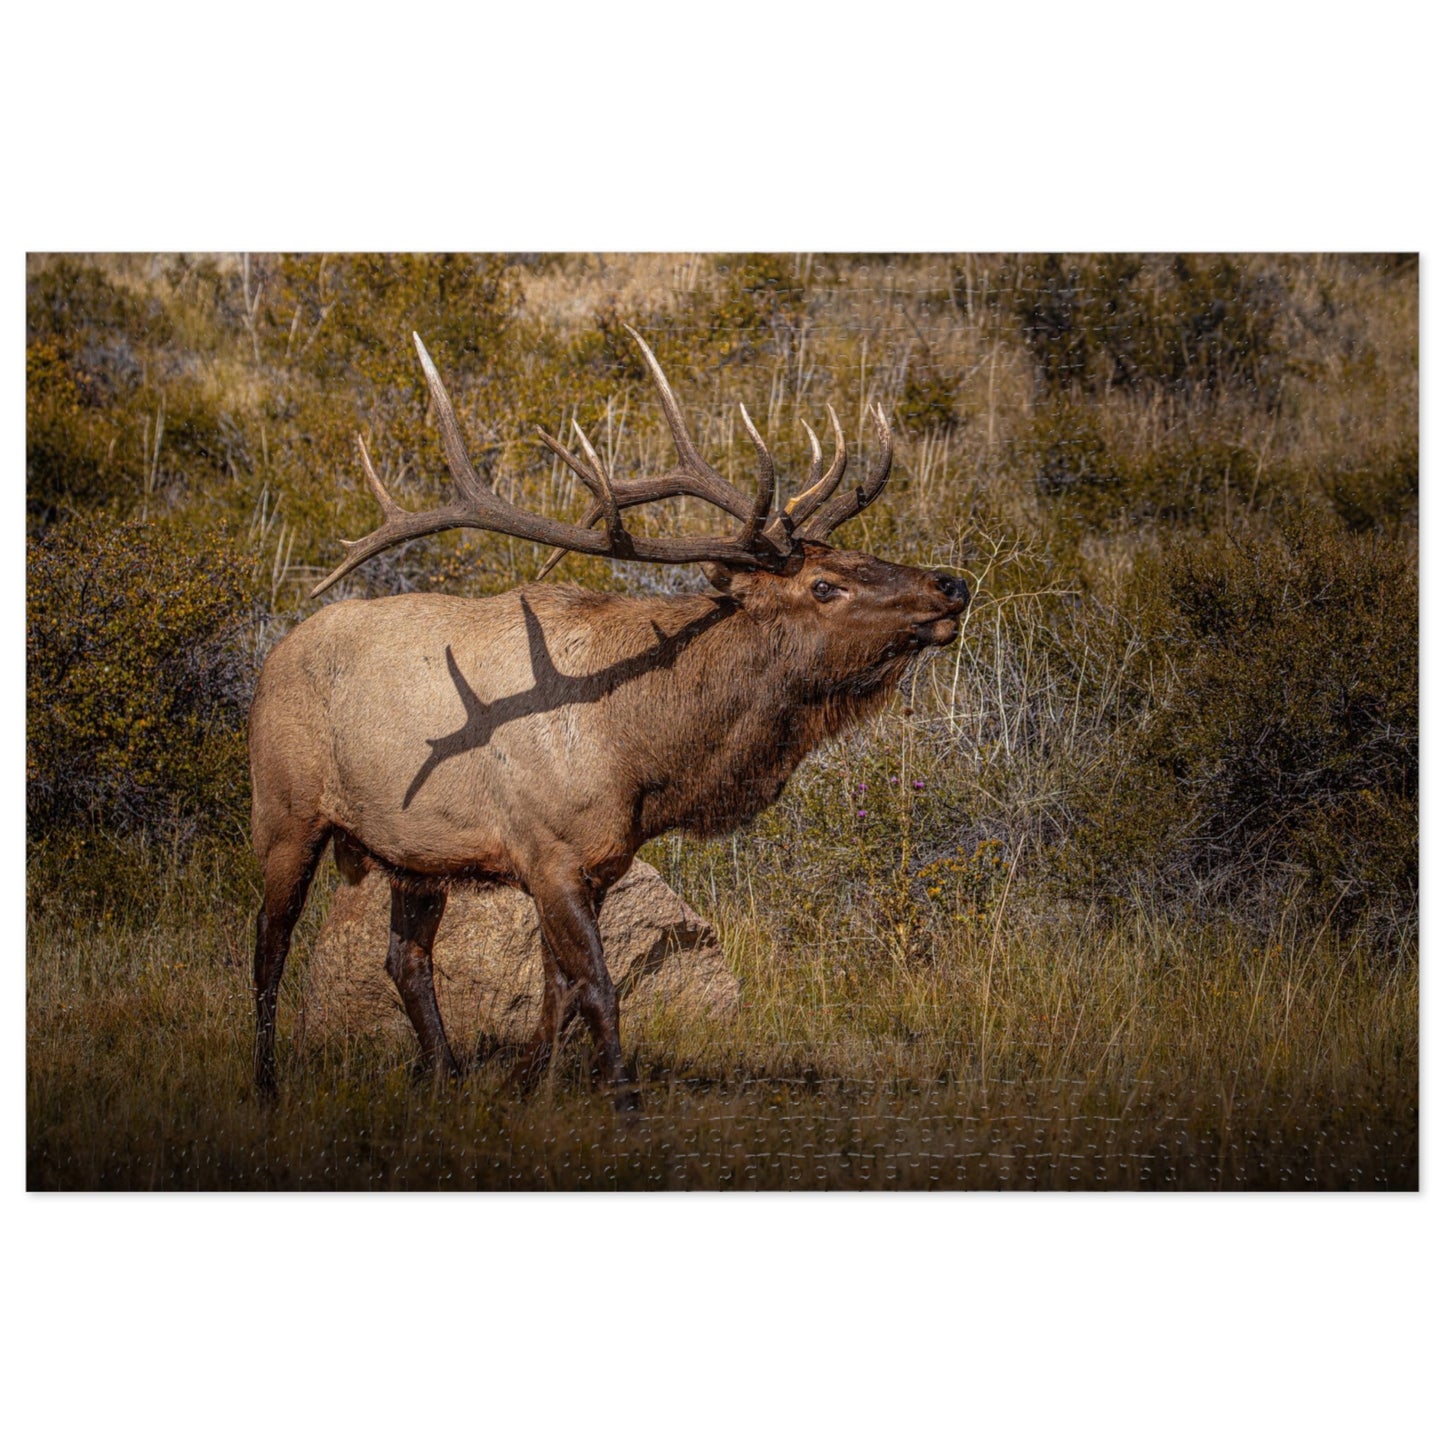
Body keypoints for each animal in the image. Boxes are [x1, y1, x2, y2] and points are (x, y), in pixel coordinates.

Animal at [248, 325, 971, 1092]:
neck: (643, 756)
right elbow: (597, 985)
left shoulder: (598, 863)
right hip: (285, 812)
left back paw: (445, 1073)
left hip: (414, 853)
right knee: (269, 946)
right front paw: (619, 1093)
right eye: (825, 585)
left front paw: (526, 1083)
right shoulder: (549, 851)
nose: (950, 584)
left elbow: (559, 991)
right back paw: (266, 1083)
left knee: (405, 959)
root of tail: (275, 652)